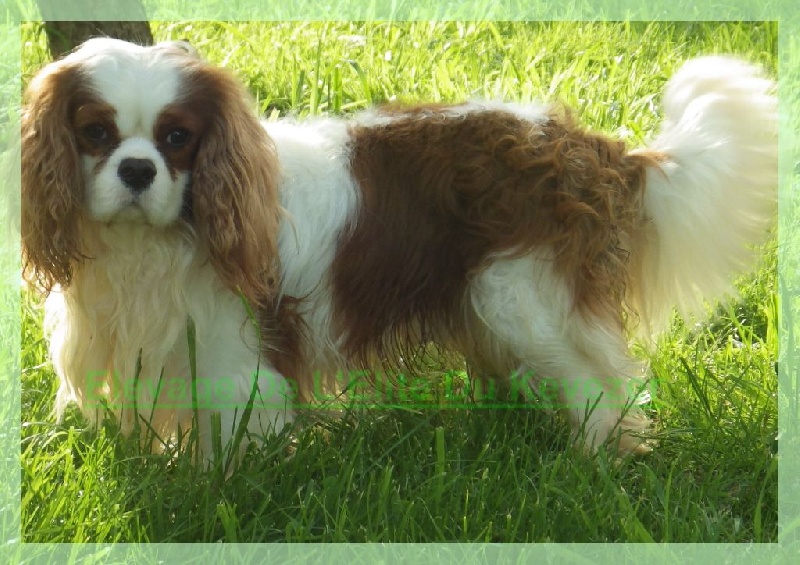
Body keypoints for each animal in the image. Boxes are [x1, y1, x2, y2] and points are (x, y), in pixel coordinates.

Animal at [21, 38, 777, 463]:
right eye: (94, 133)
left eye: (177, 138)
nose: (137, 170)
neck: (155, 242)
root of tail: (590, 148)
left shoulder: (235, 356)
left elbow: (235, 436)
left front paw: (222, 491)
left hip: (521, 300)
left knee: (600, 387)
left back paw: (597, 462)